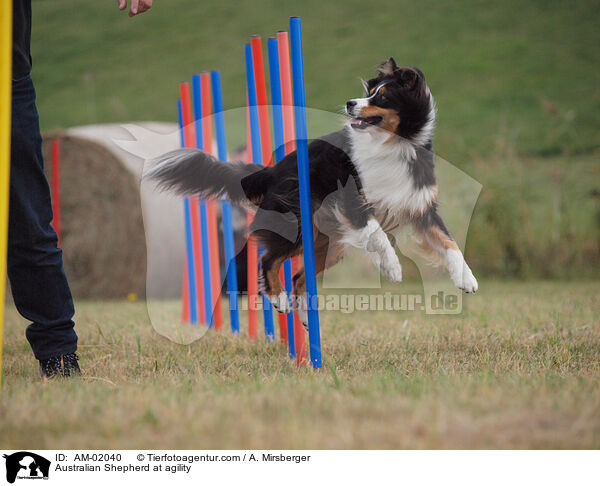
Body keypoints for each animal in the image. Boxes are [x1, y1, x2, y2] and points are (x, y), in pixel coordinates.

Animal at [146, 58, 478, 326]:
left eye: (382, 96)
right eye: (371, 90)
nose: (350, 103)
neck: (393, 145)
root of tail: (271, 171)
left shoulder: (419, 205)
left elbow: (449, 243)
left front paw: (467, 279)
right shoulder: (352, 199)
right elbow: (377, 233)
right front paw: (393, 268)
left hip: (326, 240)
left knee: (298, 276)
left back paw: (305, 317)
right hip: (297, 222)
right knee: (269, 260)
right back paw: (279, 300)